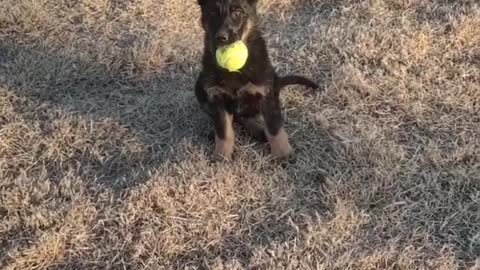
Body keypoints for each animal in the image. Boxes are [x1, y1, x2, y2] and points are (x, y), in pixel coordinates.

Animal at [193, 0, 316, 160]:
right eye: (212, 11)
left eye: (238, 12)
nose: (221, 38)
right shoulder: (217, 97)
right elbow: (223, 132)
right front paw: (221, 156)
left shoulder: (265, 95)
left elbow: (274, 128)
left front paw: (282, 154)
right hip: (199, 87)